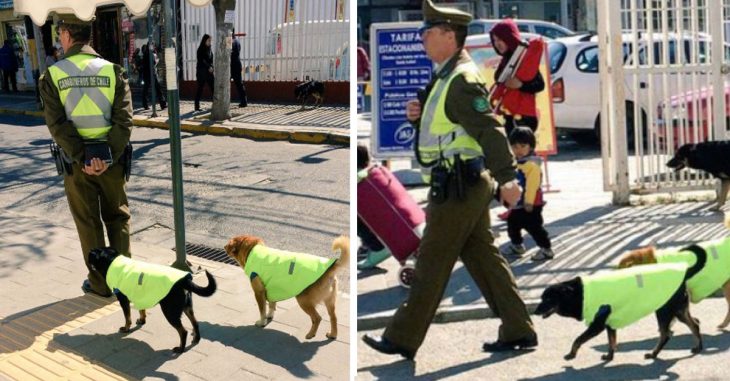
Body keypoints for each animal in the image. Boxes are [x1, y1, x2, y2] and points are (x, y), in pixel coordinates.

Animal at [88, 248, 216, 352]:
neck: (112, 261)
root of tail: (184, 280)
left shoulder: (123, 300)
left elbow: (127, 317)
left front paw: (126, 328)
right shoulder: (139, 296)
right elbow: (141, 310)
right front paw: (142, 320)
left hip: (170, 312)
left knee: (183, 331)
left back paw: (180, 349)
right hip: (187, 307)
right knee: (195, 323)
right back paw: (196, 339)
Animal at [532, 245, 704, 360]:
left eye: (548, 299)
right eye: (542, 298)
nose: (535, 311)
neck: (579, 293)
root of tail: (685, 272)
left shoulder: (597, 325)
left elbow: (578, 339)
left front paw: (571, 353)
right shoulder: (610, 323)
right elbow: (611, 341)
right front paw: (609, 356)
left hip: (663, 310)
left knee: (666, 334)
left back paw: (654, 353)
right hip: (679, 310)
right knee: (694, 324)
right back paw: (698, 347)